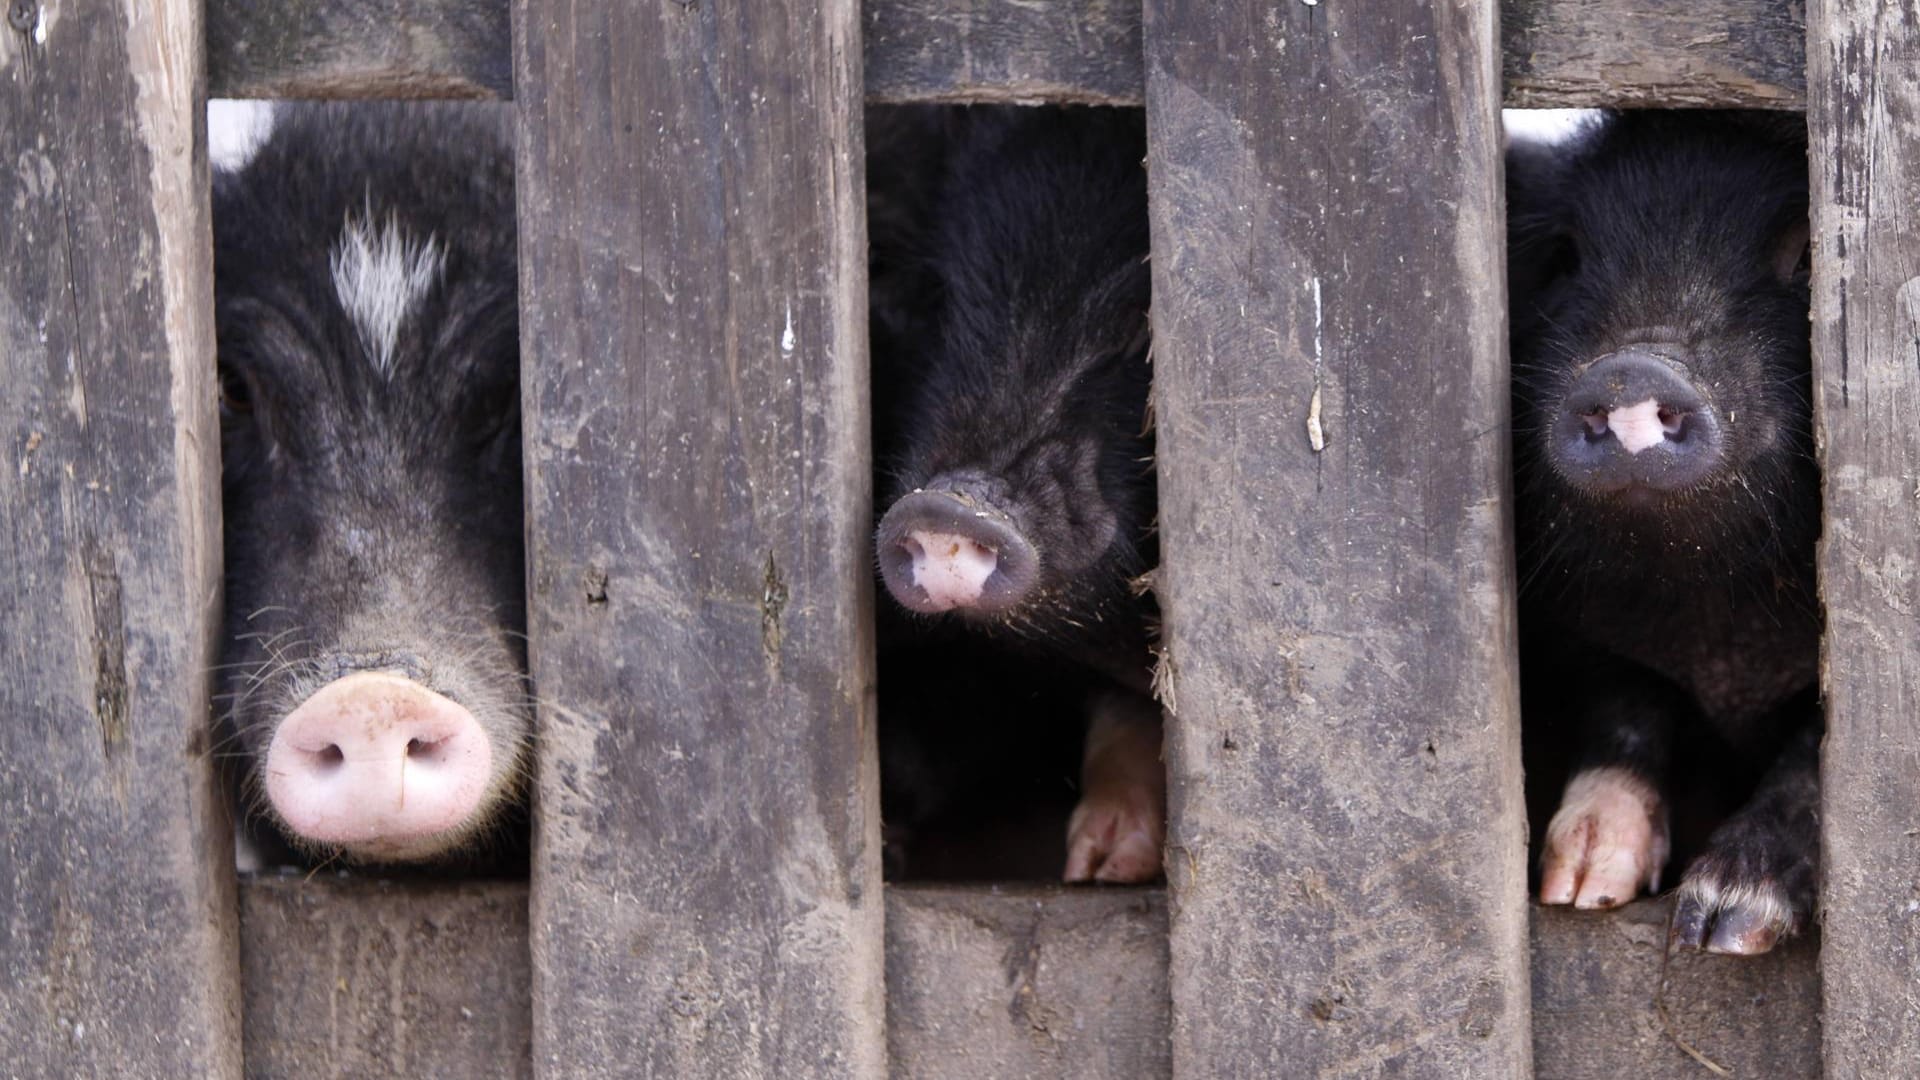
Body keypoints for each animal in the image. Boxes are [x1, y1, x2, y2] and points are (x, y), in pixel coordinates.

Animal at [1512, 111, 1812, 949]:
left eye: (1808, 254)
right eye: (1566, 257)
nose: (1630, 369)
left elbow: (1814, 753)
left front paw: (1725, 924)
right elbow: (1627, 701)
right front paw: (1580, 892)